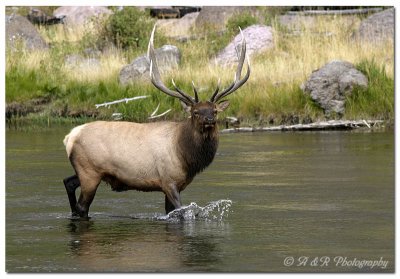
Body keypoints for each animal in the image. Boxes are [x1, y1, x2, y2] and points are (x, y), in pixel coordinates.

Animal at [62, 25, 250, 219]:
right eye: (195, 112)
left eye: (215, 111)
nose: (210, 120)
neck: (186, 156)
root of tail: (70, 137)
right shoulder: (168, 180)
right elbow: (181, 212)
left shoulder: (178, 184)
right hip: (89, 171)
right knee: (82, 207)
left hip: (86, 170)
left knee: (68, 182)